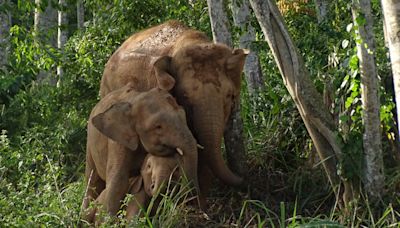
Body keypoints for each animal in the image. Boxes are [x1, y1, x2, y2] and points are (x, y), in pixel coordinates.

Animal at [82, 83, 199, 223]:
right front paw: (107, 223)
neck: (135, 100)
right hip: (90, 143)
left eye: (184, 116)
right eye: (158, 127)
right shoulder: (118, 141)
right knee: (92, 181)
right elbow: (118, 180)